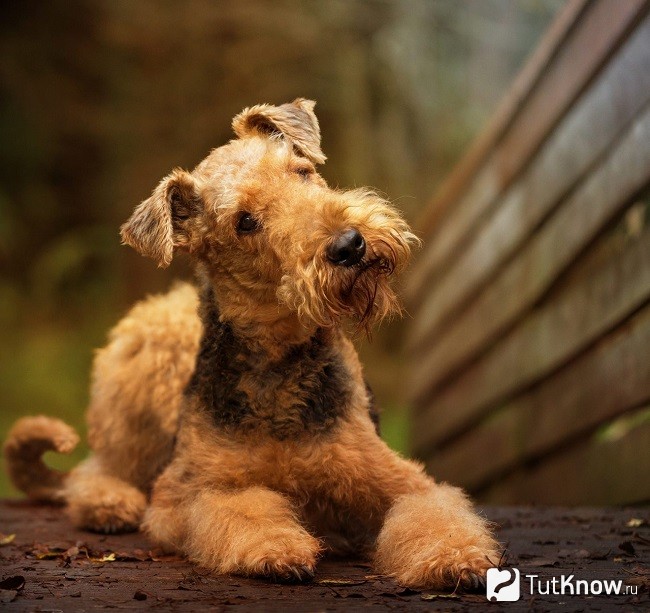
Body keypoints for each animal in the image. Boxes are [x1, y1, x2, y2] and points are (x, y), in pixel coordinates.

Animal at [3, 99, 496, 588]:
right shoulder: (187, 493)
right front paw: (275, 548)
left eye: (301, 170)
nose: (349, 245)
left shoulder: (400, 479)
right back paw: (110, 503)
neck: (280, 362)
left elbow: (431, 511)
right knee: (96, 469)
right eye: (245, 222)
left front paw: (457, 557)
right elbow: (242, 507)